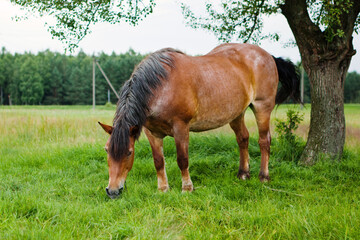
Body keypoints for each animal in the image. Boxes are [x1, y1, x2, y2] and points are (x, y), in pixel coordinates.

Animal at [98, 43, 300, 199]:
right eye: (106, 149)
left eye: (129, 152)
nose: (113, 191)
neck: (161, 86)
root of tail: (269, 56)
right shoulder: (152, 133)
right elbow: (158, 161)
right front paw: (163, 189)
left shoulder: (181, 128)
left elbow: (182, 159)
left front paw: (187, 188)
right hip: (237, 113)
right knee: (243, 138)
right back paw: (243, 174)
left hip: (262, 107)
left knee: (264, 141)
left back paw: (263, 176)